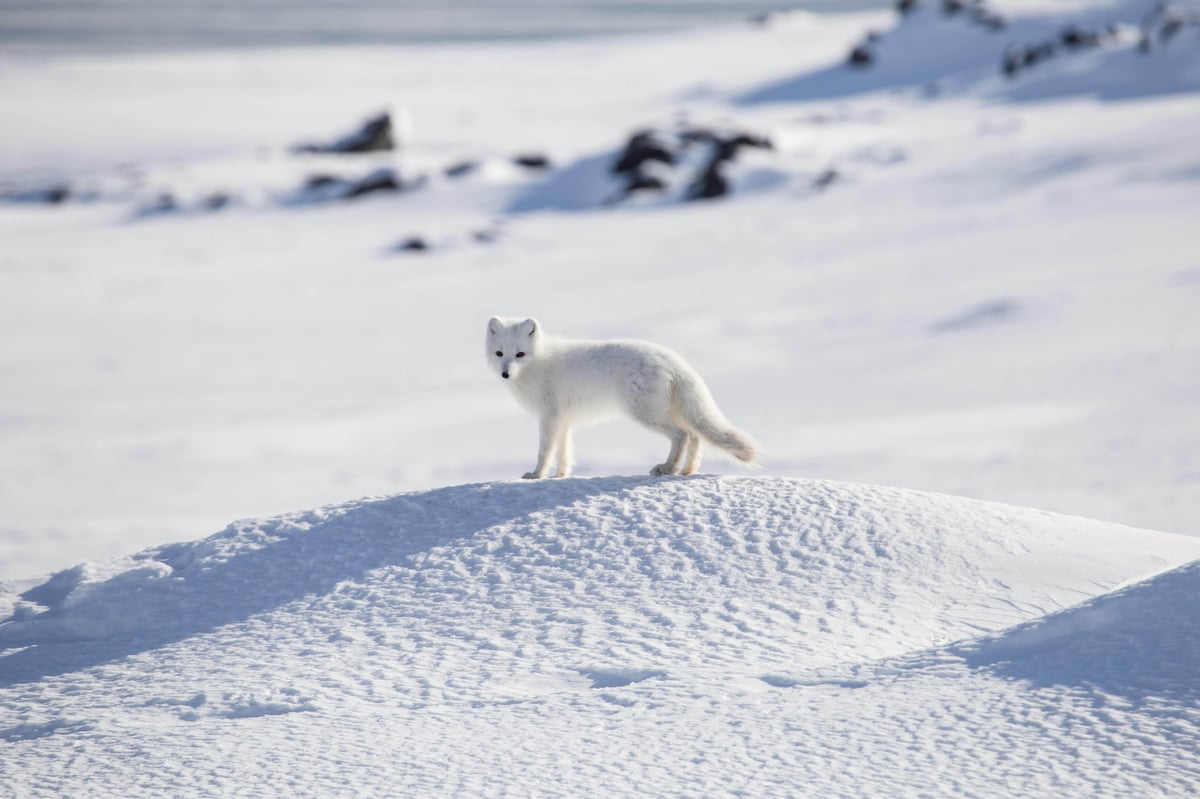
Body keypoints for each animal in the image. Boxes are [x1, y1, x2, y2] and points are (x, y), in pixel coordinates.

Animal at [484, 316, 758, 479]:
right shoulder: (563, 420)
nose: (506, 373)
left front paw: (536, 475)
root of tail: (673, 360)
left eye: (520, 354)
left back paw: (667, 468)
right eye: (499, 353)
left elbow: (545, 451)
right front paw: (560, 476)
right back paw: (686, 471)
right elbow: (564, 452)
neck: (539, 361)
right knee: (694, 436)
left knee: (681, 435)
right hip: (669, 410)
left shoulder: (549, 417)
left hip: (644, 413)